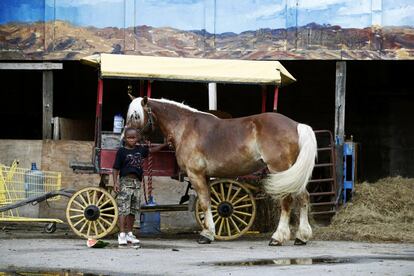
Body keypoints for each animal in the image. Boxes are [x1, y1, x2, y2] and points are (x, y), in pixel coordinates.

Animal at [126, 96, 316, 245]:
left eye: (136, 115)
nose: (126, 138)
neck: (186, 127)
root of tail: (296, 125)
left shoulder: (196, 175)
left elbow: (204, 203)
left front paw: (207, 235)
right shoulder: (206, 176)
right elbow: (208, 202)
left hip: (281, 171)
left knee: (287, 201)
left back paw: (277, 237)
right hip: (293, 174)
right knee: (303, 197)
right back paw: (301, 237)